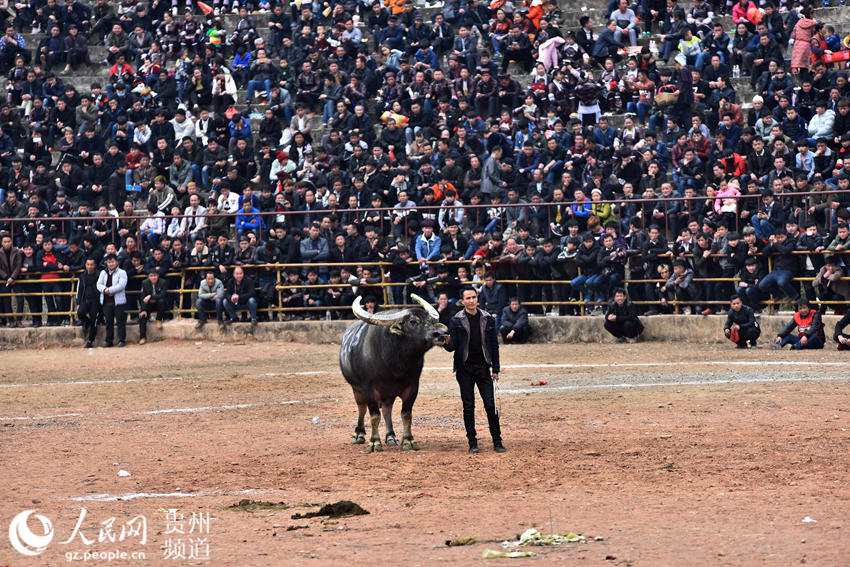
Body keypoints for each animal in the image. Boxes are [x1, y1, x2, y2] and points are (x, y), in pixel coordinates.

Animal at [336, 298, 448, 452]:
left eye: (431, 320)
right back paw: (359, 434)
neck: (393, 364)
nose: (442, 333)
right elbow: (374, 416)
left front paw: (408, 440)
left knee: (387, 410)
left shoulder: (413, 387)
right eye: (412, 321)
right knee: (362, 408)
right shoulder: (368, 388)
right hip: (356, 389)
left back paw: (390, 436)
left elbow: (406, 414)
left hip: (388, 394)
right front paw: (374, 442)